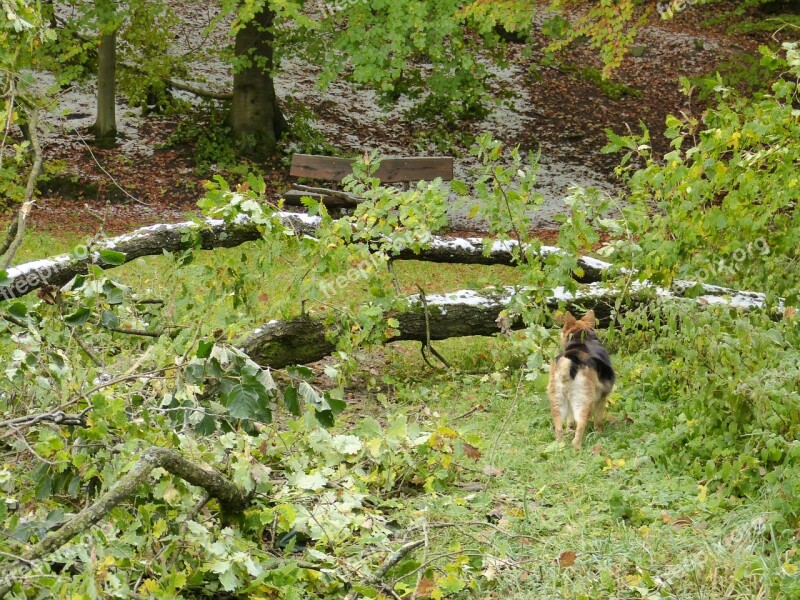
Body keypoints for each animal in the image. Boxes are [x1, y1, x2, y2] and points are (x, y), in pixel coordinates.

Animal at [548, 312, 616, 448]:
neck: (582, 337)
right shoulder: (601, 399)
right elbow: (598, 421)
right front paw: (598, 433)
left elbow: (569, 421)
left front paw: (569, 429)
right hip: (584, 403)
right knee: (579, 429)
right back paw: (578, 446)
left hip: (558, 404)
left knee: (559, 429)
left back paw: (560, 446)